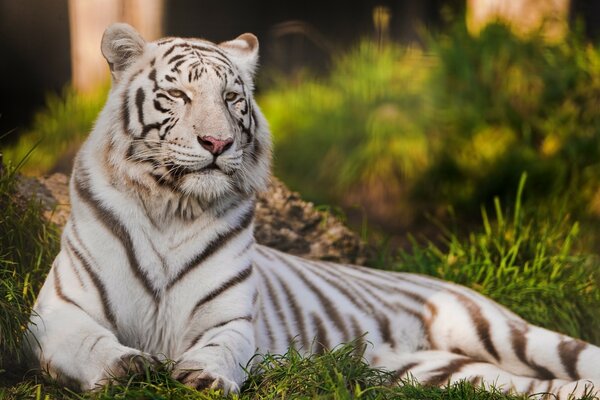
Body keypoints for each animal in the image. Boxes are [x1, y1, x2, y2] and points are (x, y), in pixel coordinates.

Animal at [25, 24, 600, 396]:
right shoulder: (57, 311)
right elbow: (93, 343)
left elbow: (219, 348)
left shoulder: (231, 319)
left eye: (232, 97)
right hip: (442, 374)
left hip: (499, 330)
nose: (217, 143)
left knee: (575, 359)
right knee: (543, 388)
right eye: (179, 96)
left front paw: (202, 376)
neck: (172, 206)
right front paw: (128, 368)